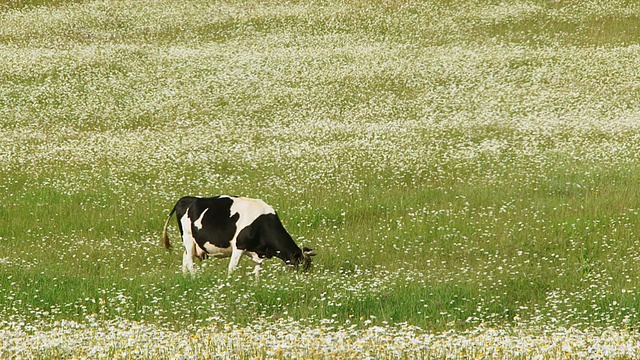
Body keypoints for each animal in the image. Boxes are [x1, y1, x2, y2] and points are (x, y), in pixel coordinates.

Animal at [160, 195, 316, 278]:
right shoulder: (239, 246)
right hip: (188, 238)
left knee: (185, 257)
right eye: (300, 265)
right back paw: (194, 277)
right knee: (189, 260)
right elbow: (232, 269)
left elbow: (257, 272)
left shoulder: (258, 253)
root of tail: (186, 199)